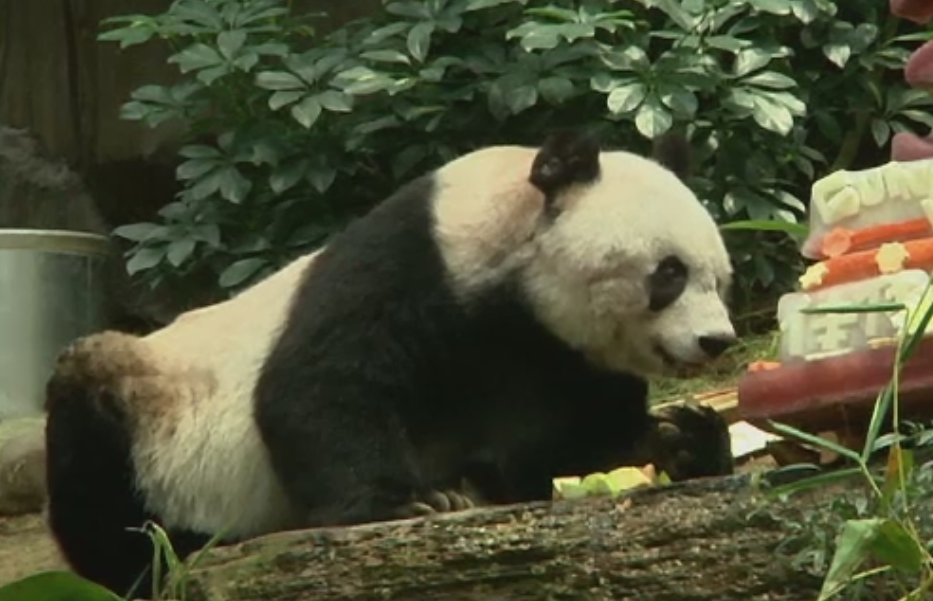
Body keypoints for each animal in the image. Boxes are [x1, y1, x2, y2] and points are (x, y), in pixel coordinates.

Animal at [44, 129, 737, 598]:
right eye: (669, 273)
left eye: (720, 277)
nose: (718, 341)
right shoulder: (415, 262)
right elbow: (322, 385)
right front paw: (408, 504)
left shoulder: (556, 353)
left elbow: (568, 440)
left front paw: (683, 437)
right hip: (154, 413)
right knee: (96, 451)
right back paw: (155, 560)